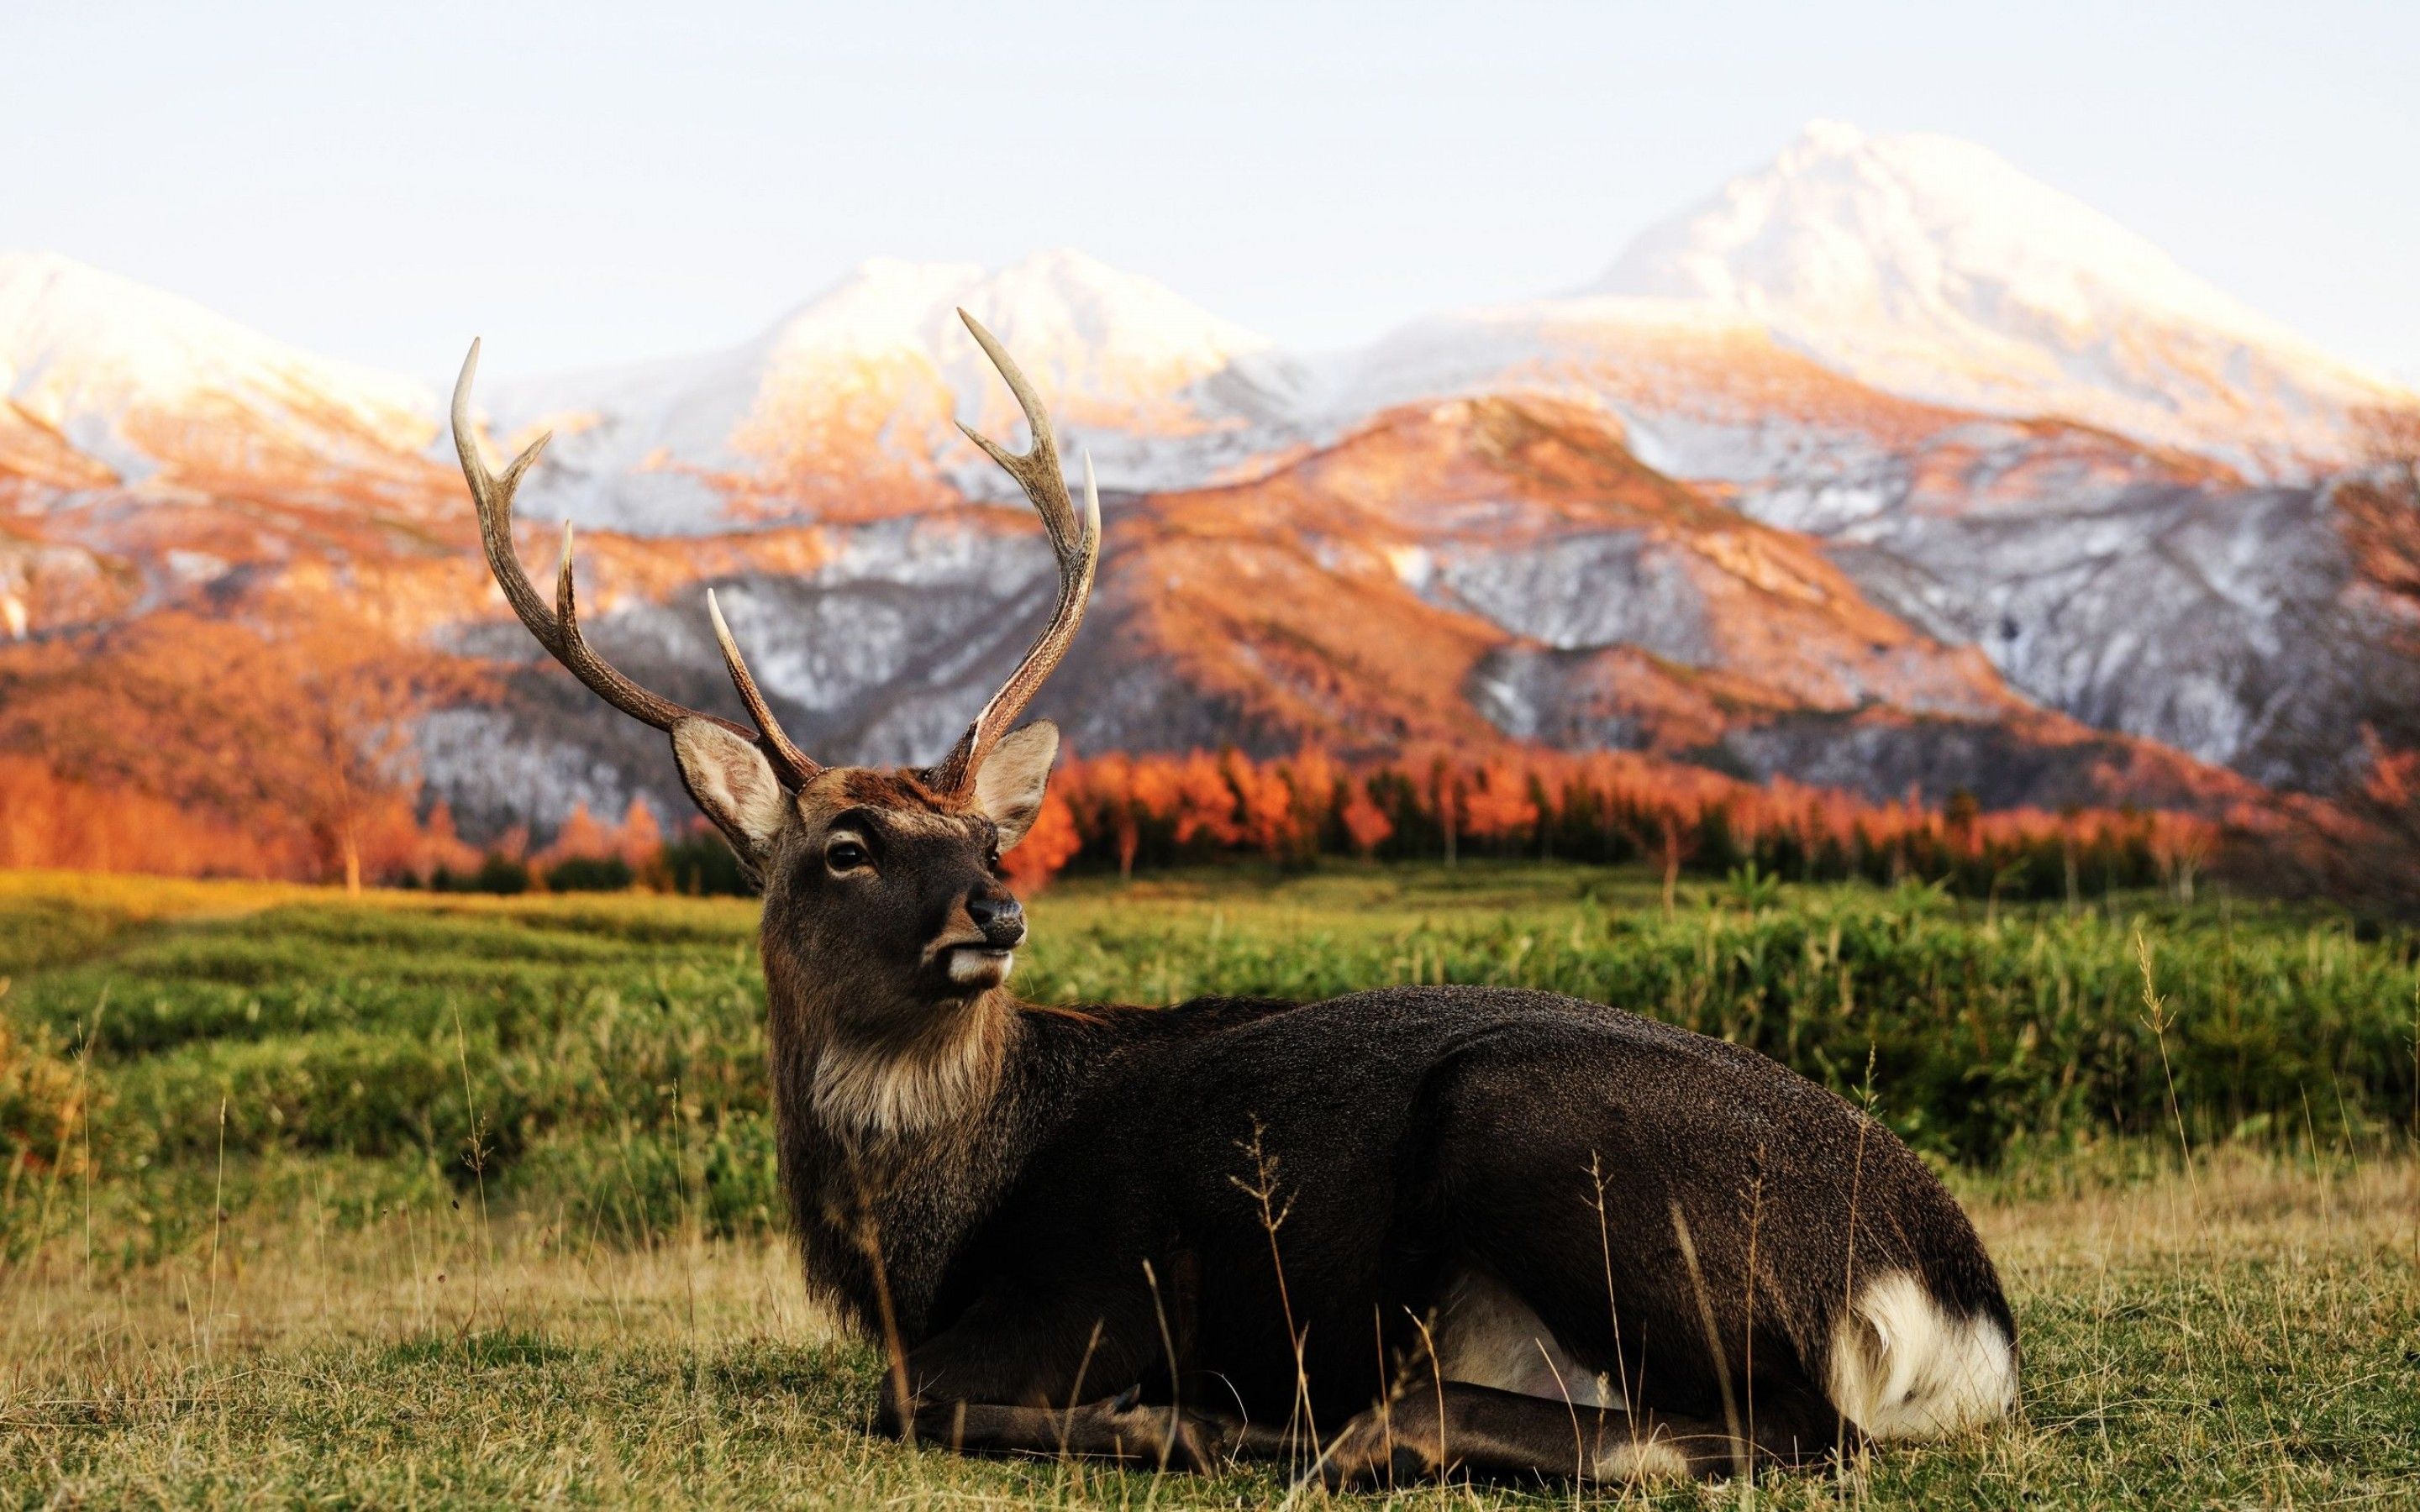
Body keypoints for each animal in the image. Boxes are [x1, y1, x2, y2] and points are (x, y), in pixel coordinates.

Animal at [445, 319, 2013, 1490]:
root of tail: (1957, 1304)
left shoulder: (1096, 1287)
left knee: (1787, 1429)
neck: (922, 1234)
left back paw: (1322, 1428)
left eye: (985, 835)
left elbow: (902, 1399)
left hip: (1549, 1139)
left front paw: (1166, 1420)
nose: (992, 915)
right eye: (844, 845)